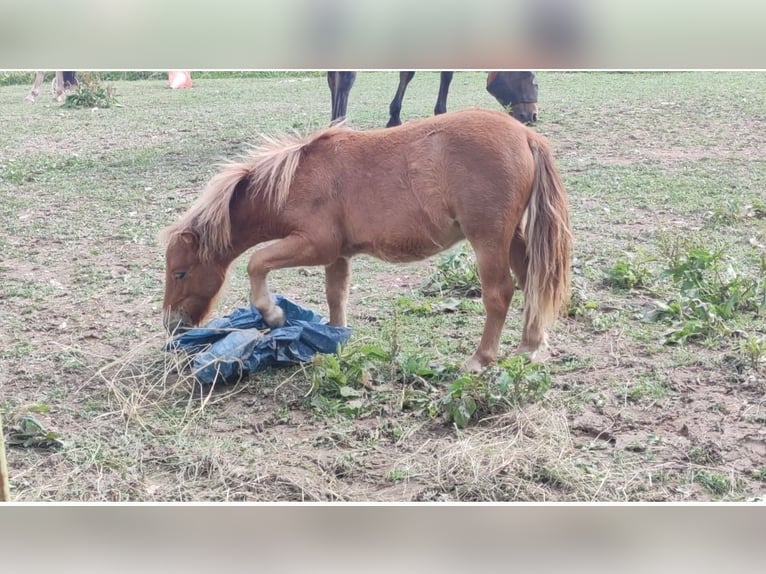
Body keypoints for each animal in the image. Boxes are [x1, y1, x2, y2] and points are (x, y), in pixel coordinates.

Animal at [160, 109, 568, 372]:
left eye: (180, 273)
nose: (172, 325)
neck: (296, 179)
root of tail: (526, 135)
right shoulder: (336, 254)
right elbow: (336, 296)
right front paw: (334, 341)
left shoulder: (315, 244)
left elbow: (256, 263)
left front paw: (274, 315)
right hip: (512, 237)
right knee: (532, 281)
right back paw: (530, 345)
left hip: (488, 238)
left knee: (500, 293)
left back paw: (481, 359)